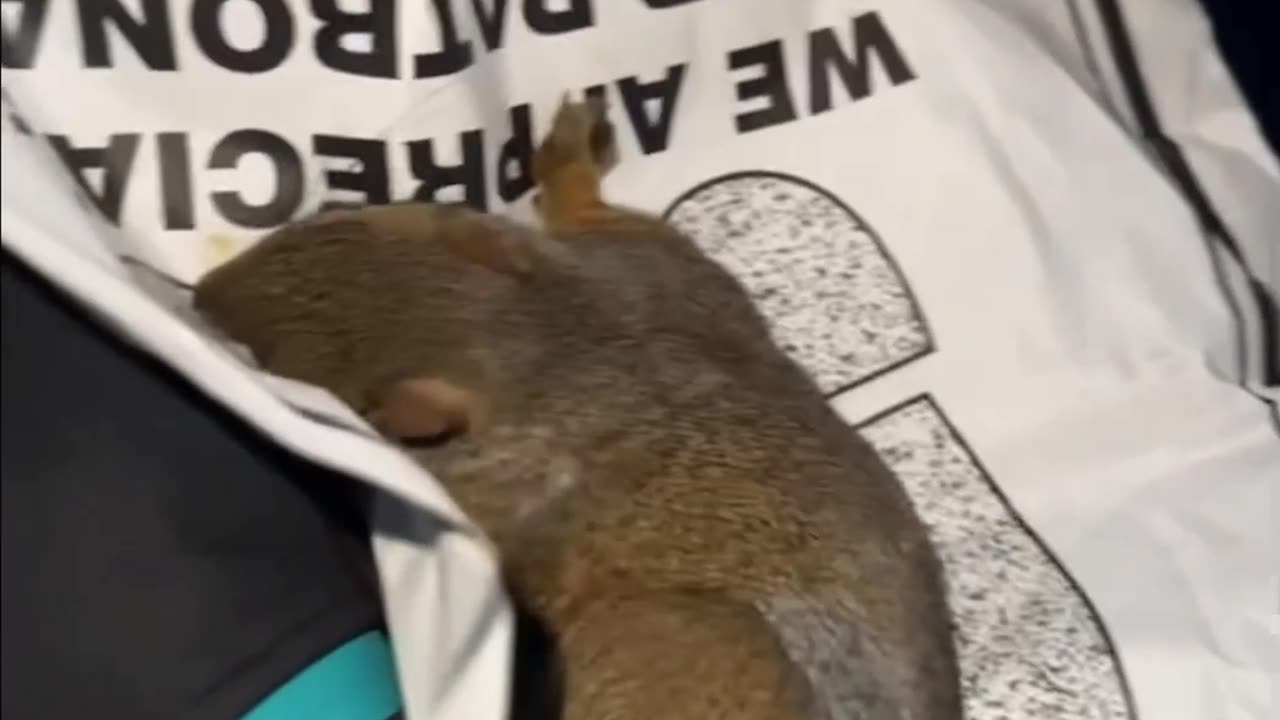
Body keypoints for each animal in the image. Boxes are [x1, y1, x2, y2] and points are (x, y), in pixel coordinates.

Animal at [193, 96, 963, 720]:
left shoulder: (517, 514)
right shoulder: (664, 272)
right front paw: (570, 154)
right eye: (331, 215)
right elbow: (604, 218)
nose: (200, 293)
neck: (555, 345)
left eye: (276, 360)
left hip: (675, 643)